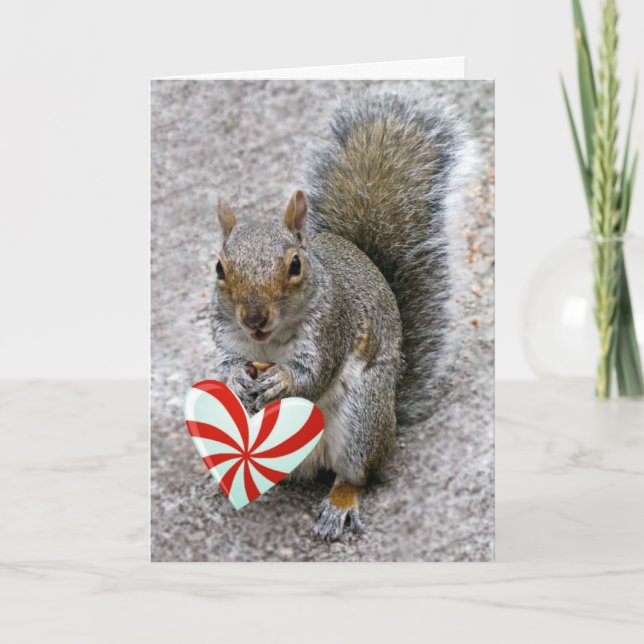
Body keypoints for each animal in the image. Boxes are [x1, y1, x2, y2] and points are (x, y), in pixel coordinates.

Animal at [211, 92, 471, 540]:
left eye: (295, 265)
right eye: (219, 269)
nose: (254, 318)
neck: (268, 344)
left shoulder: (332, 327)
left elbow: (312, 376)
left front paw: (280, 381)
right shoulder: (228, 336)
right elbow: (226, 363)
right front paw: (235, 380)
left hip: (362, 420)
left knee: (356, 474)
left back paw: (339, 503)